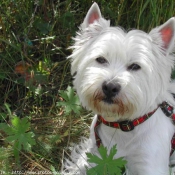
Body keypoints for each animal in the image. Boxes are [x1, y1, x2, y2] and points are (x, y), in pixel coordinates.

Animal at [62, 2, 175, 175]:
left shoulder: (149, 165)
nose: (110, 87)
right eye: (101, 59)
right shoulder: (95, 153)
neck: (122, 127)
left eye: (135, 66)